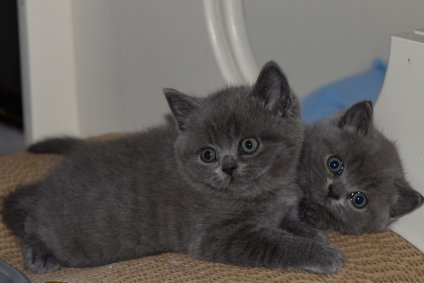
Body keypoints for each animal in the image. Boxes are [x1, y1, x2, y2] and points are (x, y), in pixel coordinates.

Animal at [2, 61, 344, 276]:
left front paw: (312, 233)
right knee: (29, 222)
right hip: (75, 240)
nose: (228, 167)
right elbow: (277, 242)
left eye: (248, 144)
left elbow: (291, 222)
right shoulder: (218, 235)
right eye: (208, 154)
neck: (267, 191)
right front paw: (322, 253)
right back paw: (39, 254)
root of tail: (50, 184)